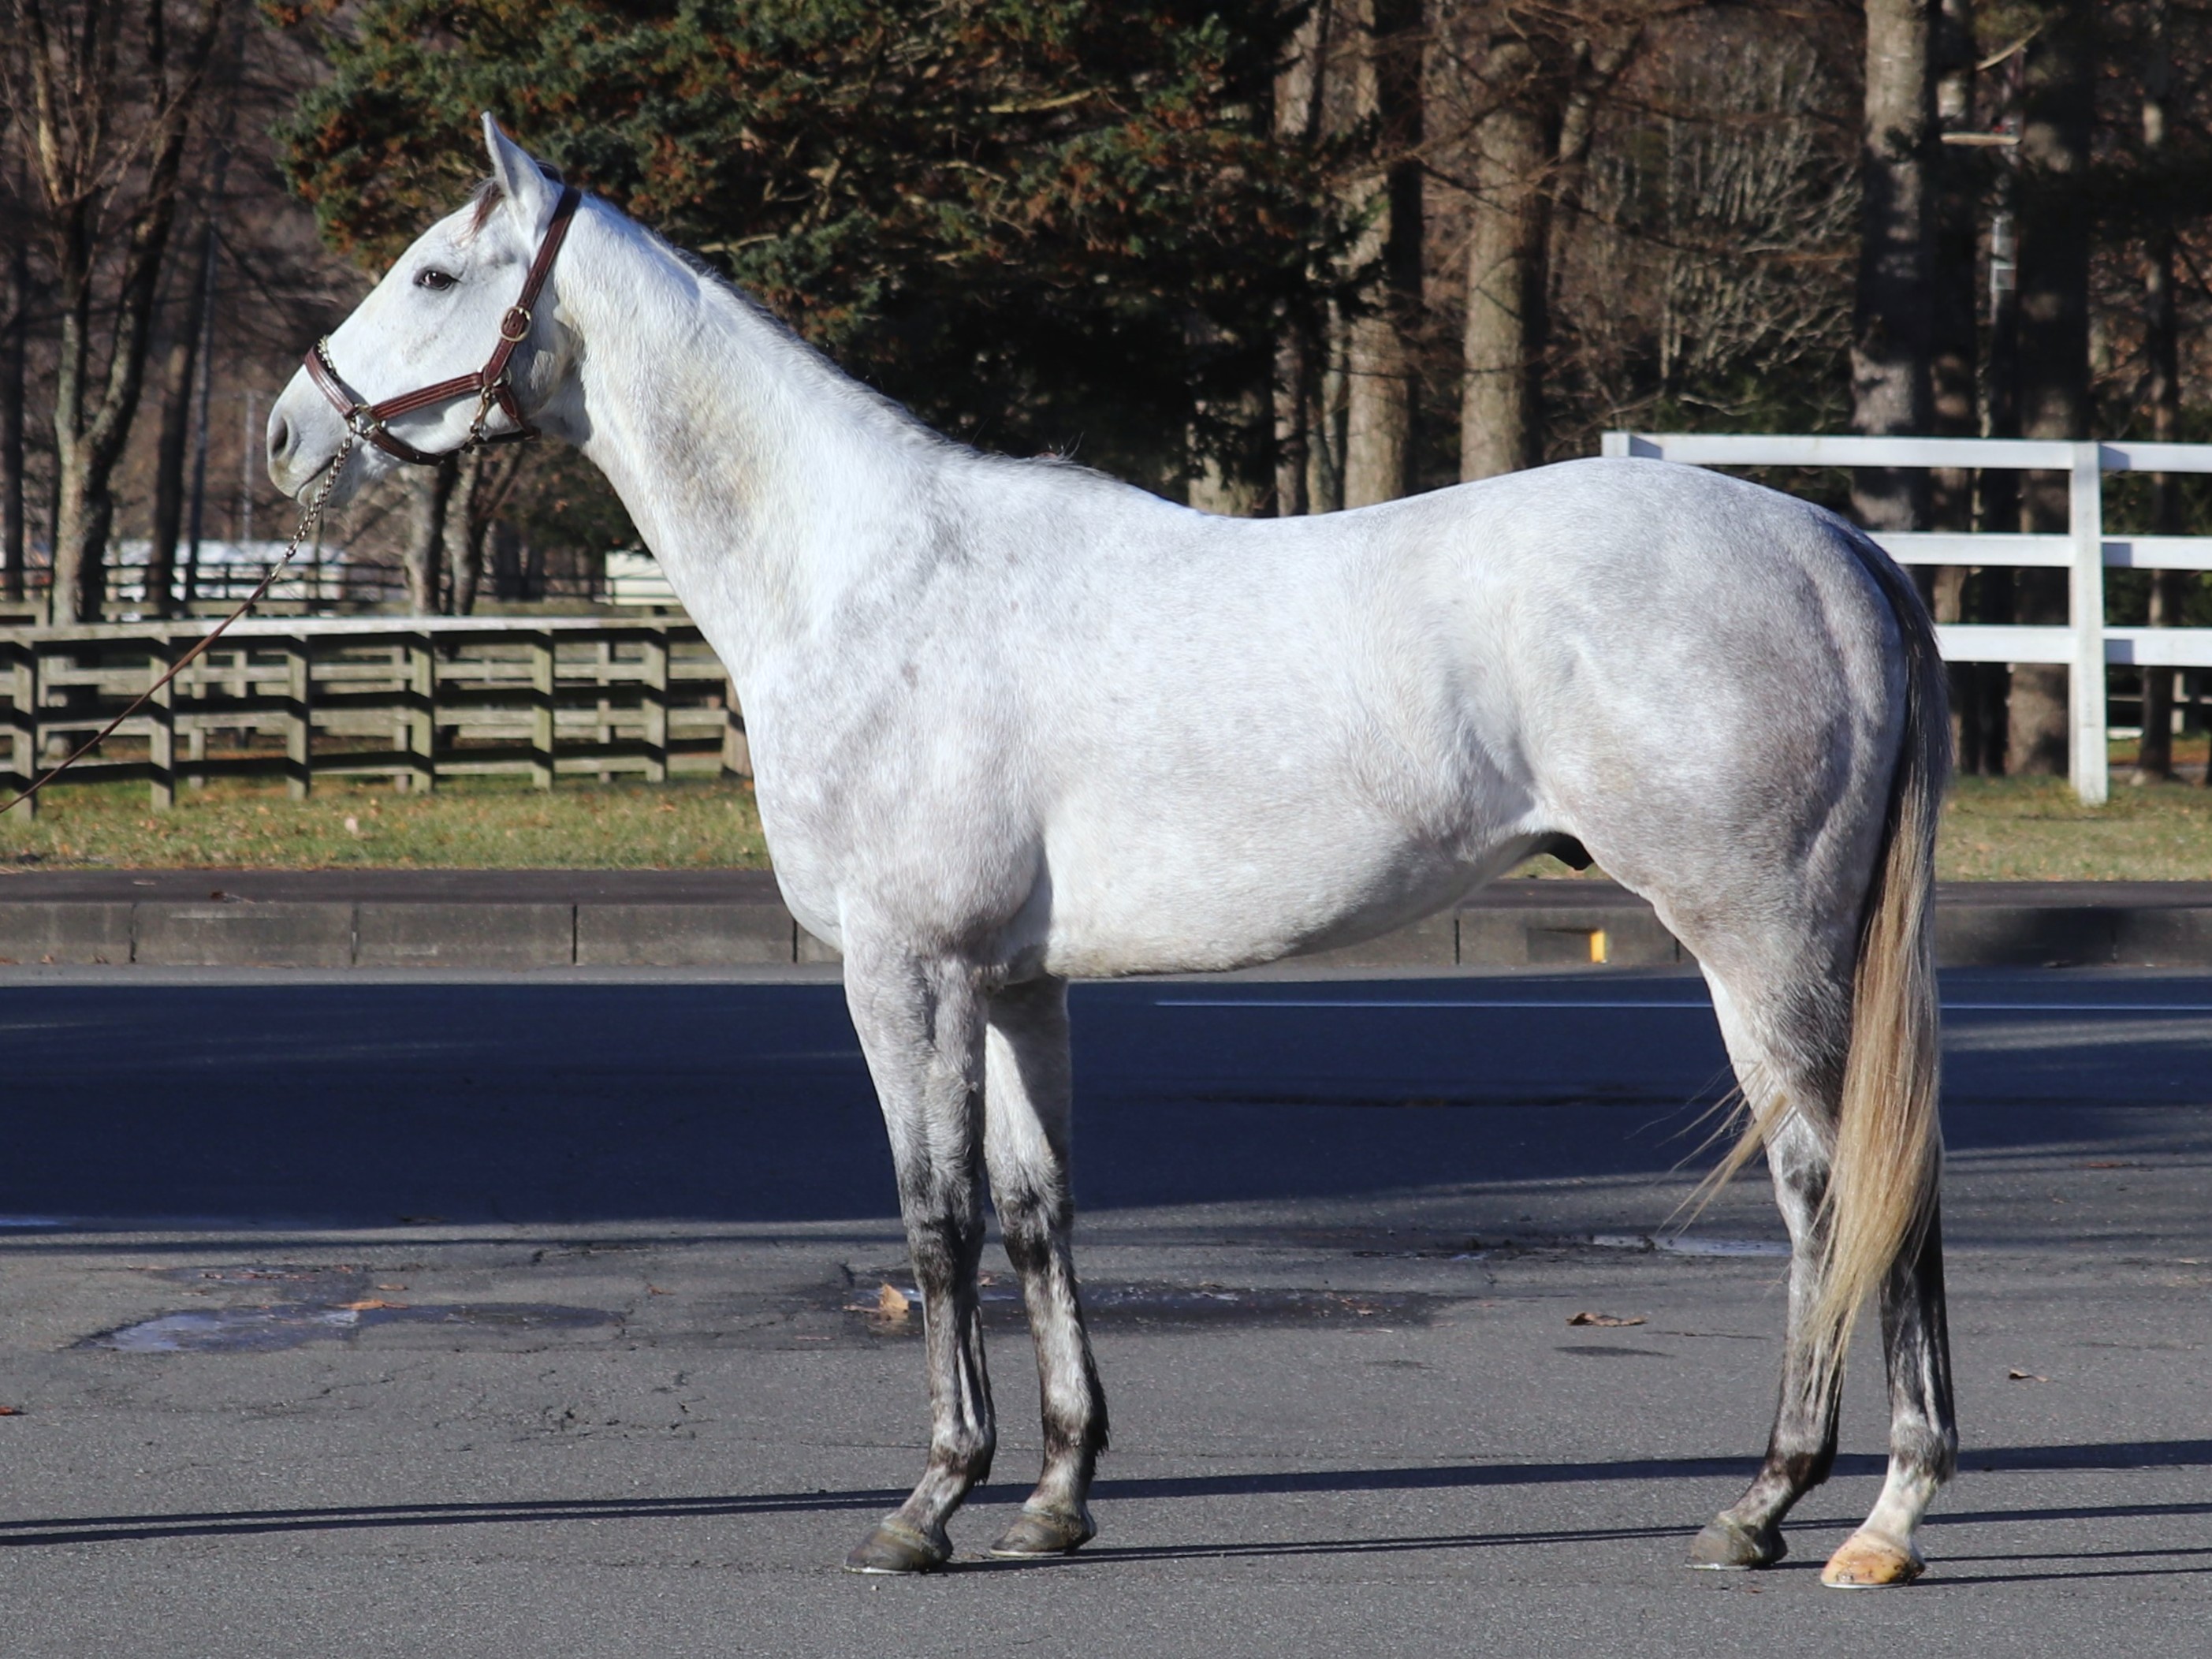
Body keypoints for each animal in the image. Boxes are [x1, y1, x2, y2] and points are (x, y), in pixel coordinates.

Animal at [267, 115, 1954, 1588]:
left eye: (436, 274)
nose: (287, 433)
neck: (862, 574)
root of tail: (1836, 550)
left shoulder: (909, 970)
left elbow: (935, 1218)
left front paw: (931, 1499)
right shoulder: (1019, 982)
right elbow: (1037, 1214)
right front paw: (1056, 1495)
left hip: (1757, 943)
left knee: (1834, 1185)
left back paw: (1815, 1505)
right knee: (1875, 1178)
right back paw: (1850, 1505)